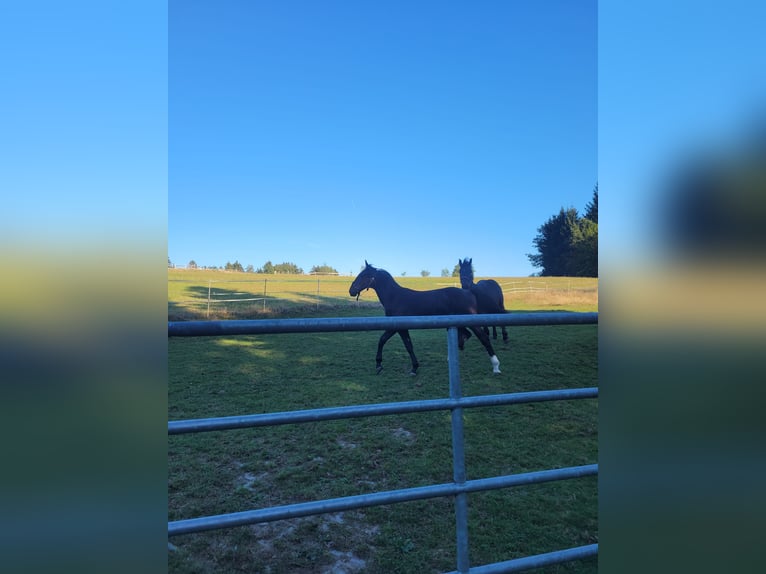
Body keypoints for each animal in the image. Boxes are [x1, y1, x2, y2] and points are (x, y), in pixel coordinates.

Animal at [350, 262, 504, 378]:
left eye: (364, 275)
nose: (351, 290)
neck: (395, 297)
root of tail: (469, 292)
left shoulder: (398, 327)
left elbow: (399, 344)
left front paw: (384, 366)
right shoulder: (398, 327)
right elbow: (391, 342)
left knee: (483, 338)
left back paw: (496, 367)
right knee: (466, 335)